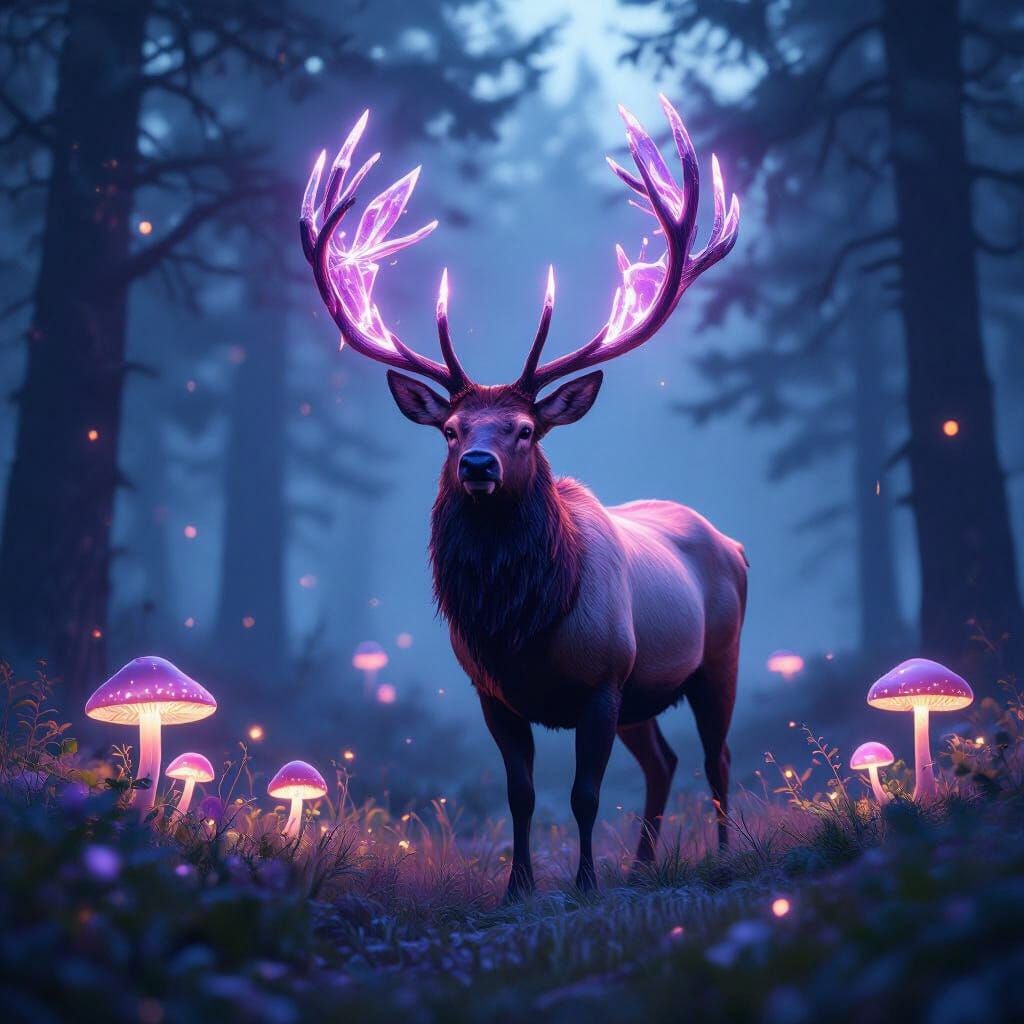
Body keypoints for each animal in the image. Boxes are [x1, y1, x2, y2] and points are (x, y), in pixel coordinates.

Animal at [299, 97, 747, 897]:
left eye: (526, 429)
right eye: (449, 429)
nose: (477, 464)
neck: (524, 627)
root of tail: (734, 544)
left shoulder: (604, 679)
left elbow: (585, 793)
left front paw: (586, 885)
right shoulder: (493, 695)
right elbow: (521, 794)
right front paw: (519, 888)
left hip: (715, 657)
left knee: (716, 757)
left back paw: (720, 854)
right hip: (645, 695)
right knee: (664, 762)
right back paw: (643, 865)